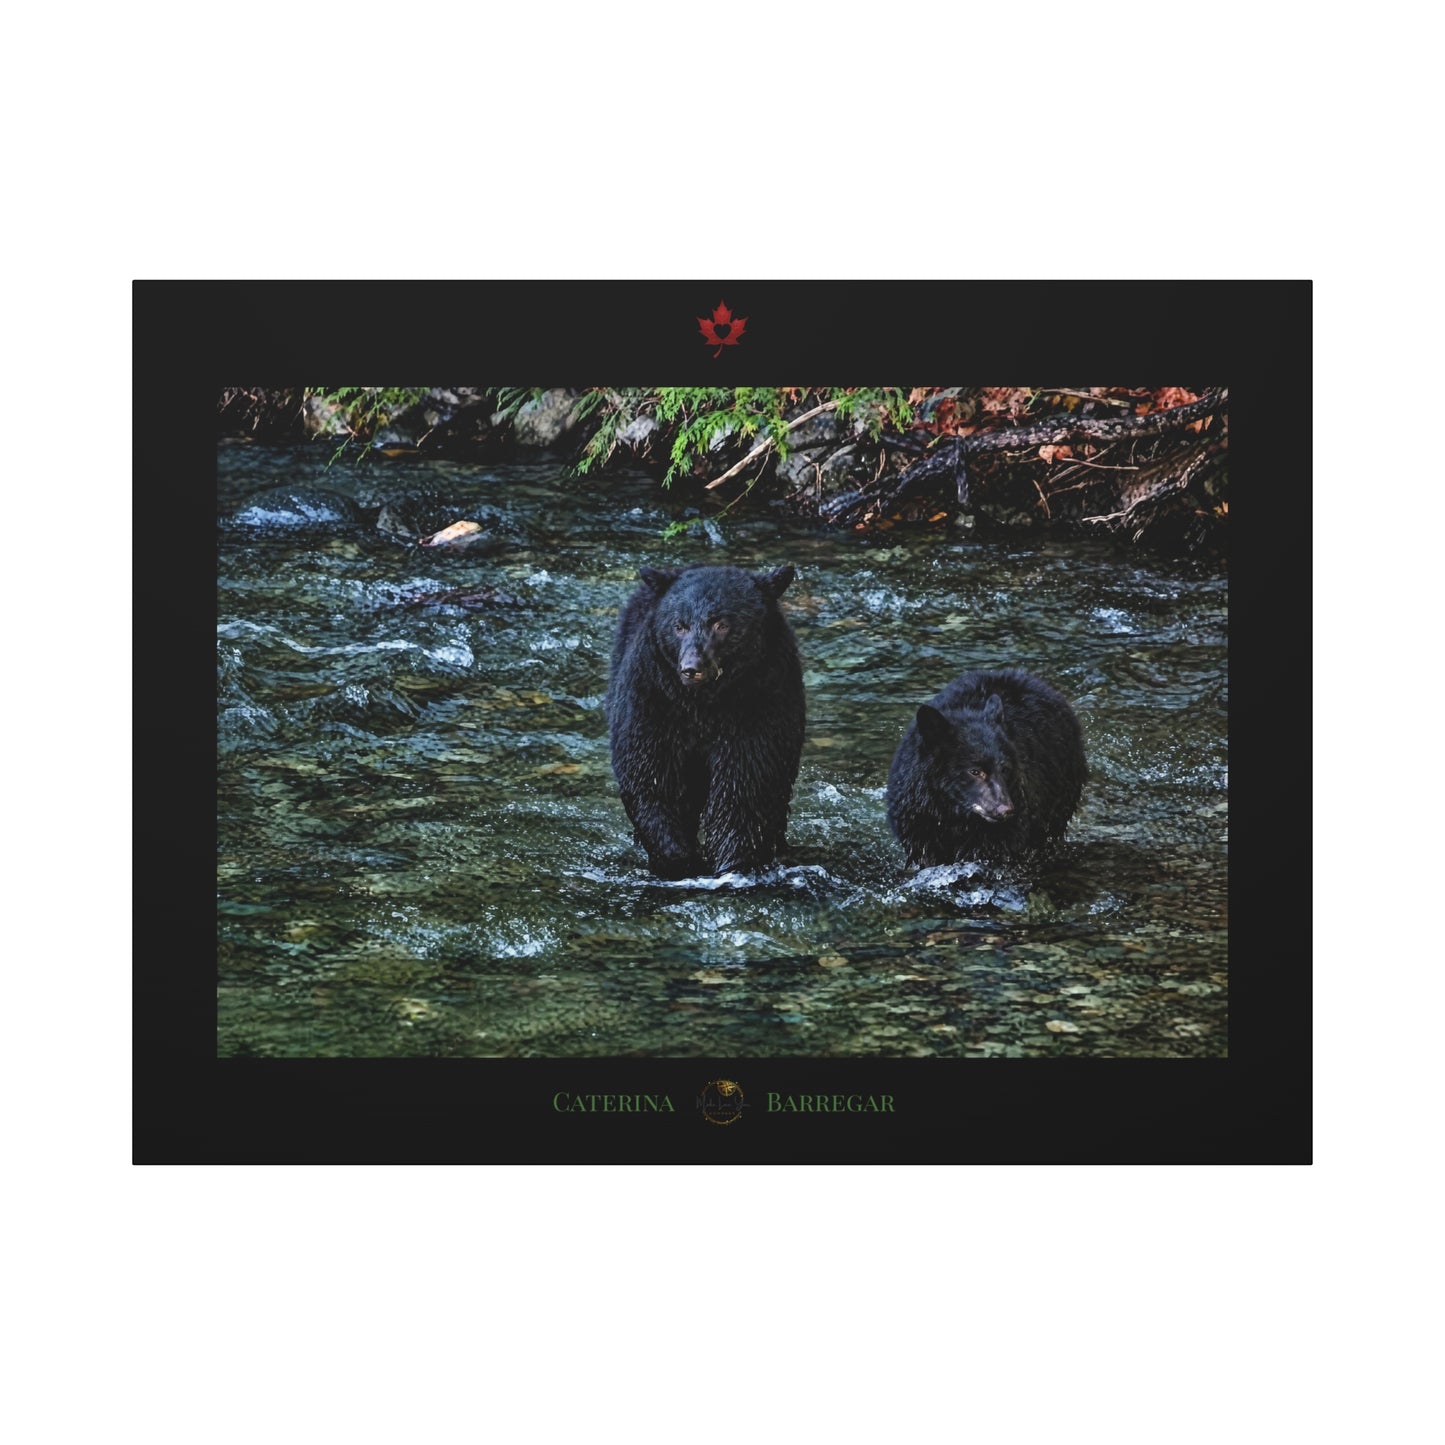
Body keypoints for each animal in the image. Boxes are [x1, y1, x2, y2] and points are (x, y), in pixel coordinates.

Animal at [607, 563, 805, 878]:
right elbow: (650, 775)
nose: (692, 668)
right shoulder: (653, 699)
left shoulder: (760, 705)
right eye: (679, 625)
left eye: (721, 624)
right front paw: (679, 860)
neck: (703, 705)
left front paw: (732, 864)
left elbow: (746, 786)